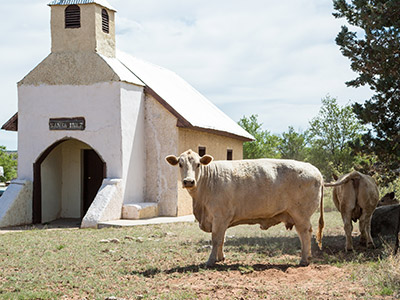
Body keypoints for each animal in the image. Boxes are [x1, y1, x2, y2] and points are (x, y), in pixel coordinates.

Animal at [166, 149, 324, 266]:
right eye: (180, 164)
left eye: (198, 164)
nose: (188, 181)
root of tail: (315, 169)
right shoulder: (222, 219)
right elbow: (222, 239)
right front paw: (220, 258)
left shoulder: (219, 216)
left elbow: (216, 239)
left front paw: (210, 261)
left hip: (301, 214)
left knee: (305, 233)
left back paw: (304, 260)